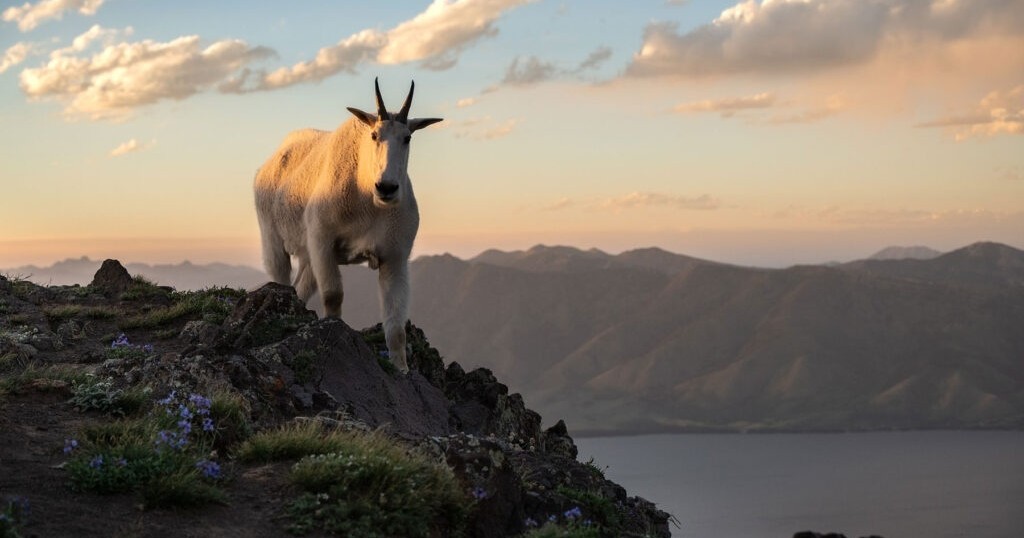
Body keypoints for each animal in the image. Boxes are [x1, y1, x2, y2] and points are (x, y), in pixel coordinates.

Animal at [254, 78, 442, 374]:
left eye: (407, 138)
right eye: (374, 135)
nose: (387, 187)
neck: (369, 200)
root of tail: (269, 163)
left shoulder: (395, 256)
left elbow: (396, 325)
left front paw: (401, 369)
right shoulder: (323, 240)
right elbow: (333, 296)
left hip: (308, 255)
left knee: (300, 287)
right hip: (271, 237)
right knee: (280, 278)